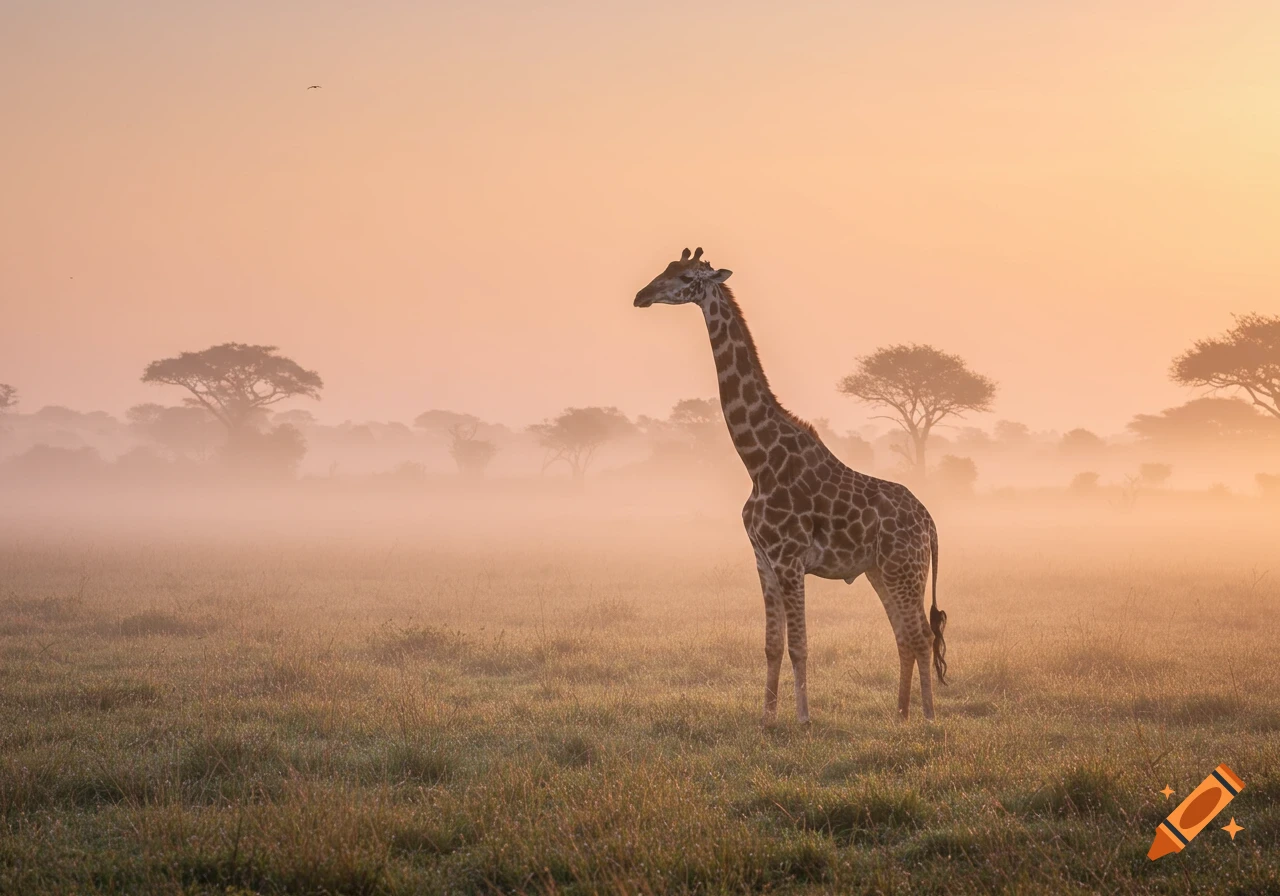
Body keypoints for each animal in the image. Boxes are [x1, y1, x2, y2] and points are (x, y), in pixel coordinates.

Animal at [634, 248, 948, 723]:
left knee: (922, 636)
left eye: (687, 278)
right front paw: (766, 718)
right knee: (904, 637)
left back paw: (927, 718)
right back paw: (900, 715)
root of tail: (930, 524)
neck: (757, 460)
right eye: (665, 270)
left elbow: (799, 646)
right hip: (880, 570)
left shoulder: (789, 559)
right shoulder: (762, 560)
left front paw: (802, 718)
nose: (641, 296)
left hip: (905, 568)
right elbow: (771, 646)